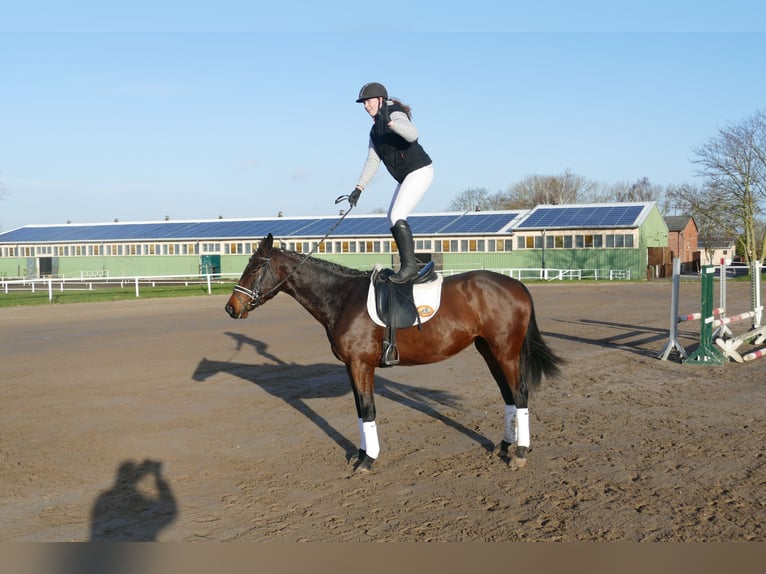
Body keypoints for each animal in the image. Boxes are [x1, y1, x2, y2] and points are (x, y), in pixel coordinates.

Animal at [225, 233, 560, 472]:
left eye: (255, 267)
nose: (231, 307)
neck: (343, 298)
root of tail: (516, 284)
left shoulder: (360, 364)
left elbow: (368, 409)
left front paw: (368, 460)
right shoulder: (352, 367)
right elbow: (360, 410)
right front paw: (361, 454)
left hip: (506, 352)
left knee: (520, 395)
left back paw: (519, 452)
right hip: (488, 351)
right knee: (507, 396)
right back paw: (504, 445)